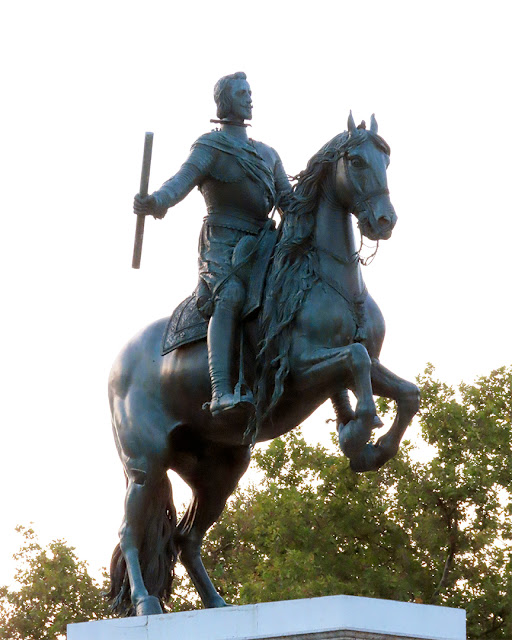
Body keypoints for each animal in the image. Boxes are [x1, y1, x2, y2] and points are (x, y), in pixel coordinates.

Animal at [107, 114, 420, 616]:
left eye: (386, 158)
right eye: (356, 160)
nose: (384, 221)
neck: (327, 275)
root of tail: (118, 365)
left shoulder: (366, 362)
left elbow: (404, 390)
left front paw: (372, 449)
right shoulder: (298, 373)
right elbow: (354, 365)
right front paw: (358, 431)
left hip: (220, 470)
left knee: (185, 539)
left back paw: (217, 604)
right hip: (145, 467)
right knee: (131, 533)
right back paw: (144, 604)